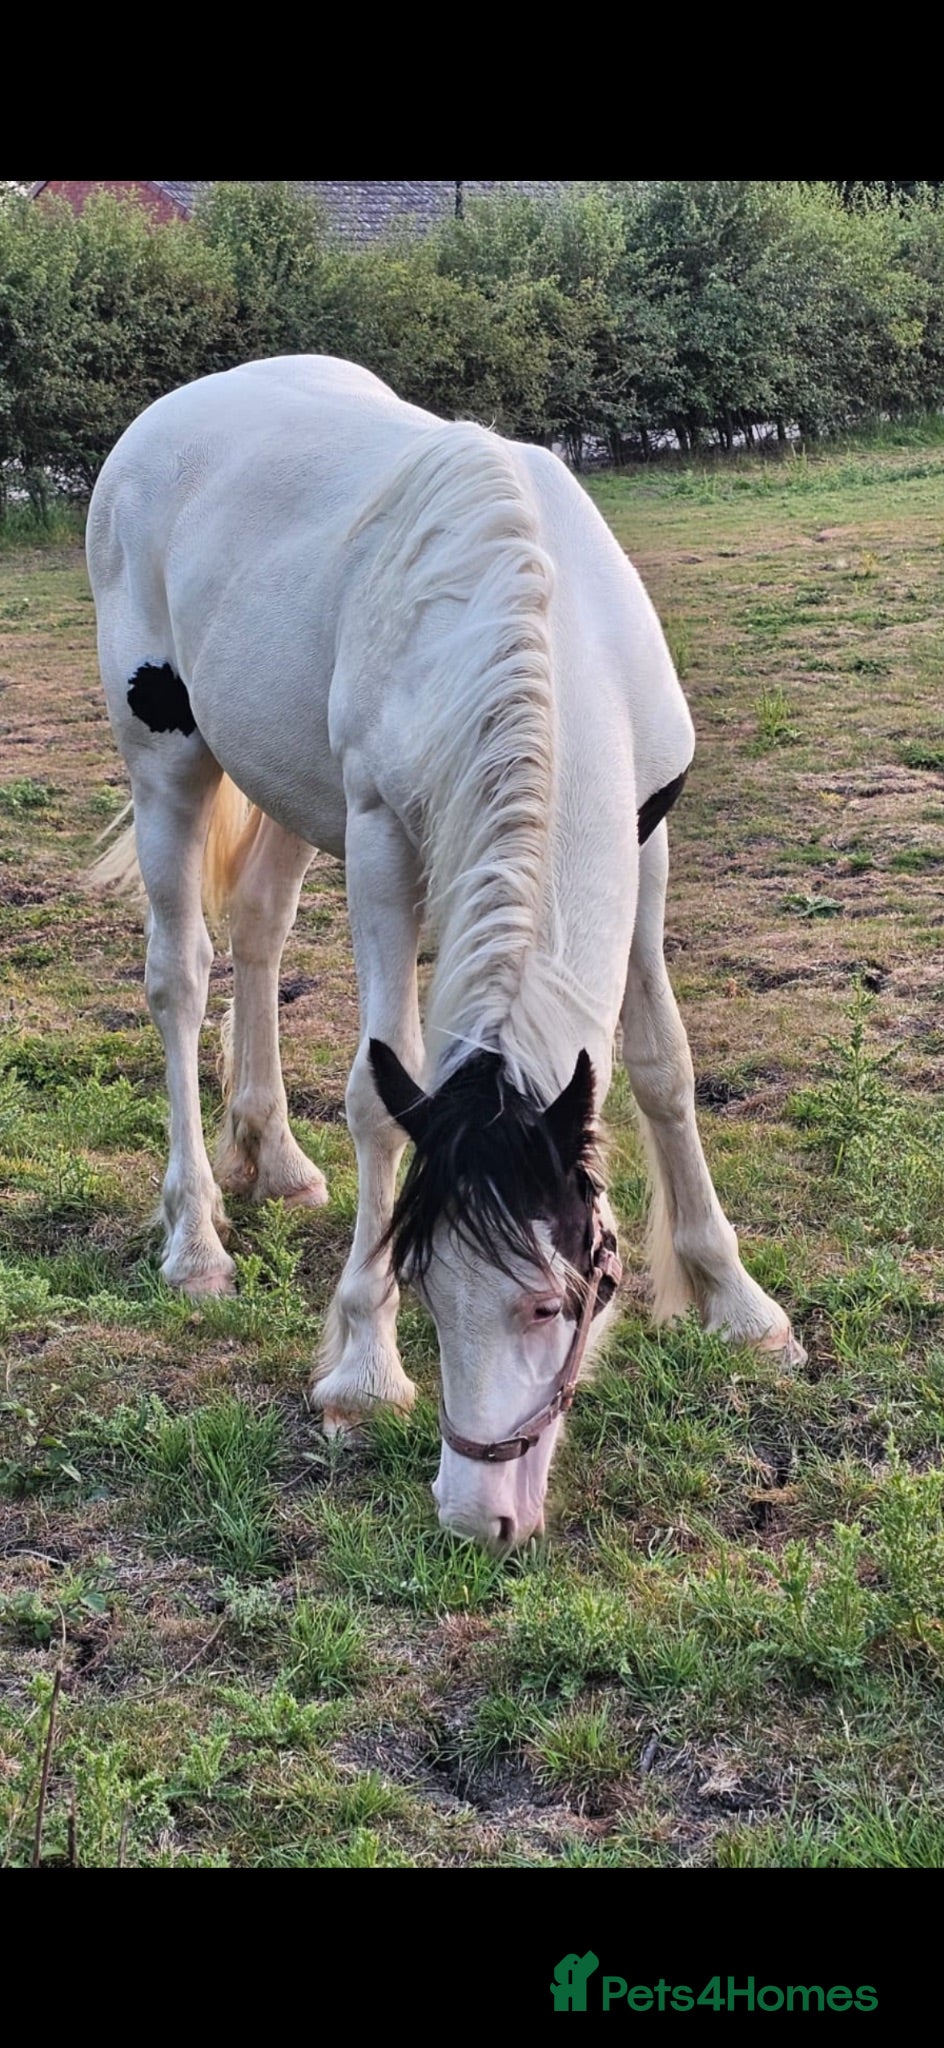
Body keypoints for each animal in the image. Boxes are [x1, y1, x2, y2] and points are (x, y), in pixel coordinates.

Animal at [86, 353, 805, 1552]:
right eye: (420, 1285)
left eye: (560, 1300)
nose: (478, 1516)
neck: (540, 625)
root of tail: (171, 412)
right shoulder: (382, 839)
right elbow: (380, 1098)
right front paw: (361, 1372)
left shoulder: (645, 833)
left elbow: (662, 1067)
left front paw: (736, 1302)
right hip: (166, 762)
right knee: (178, 977)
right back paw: (196, 1241)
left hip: (286, 785)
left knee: (258, 931)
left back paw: (274, 1155)